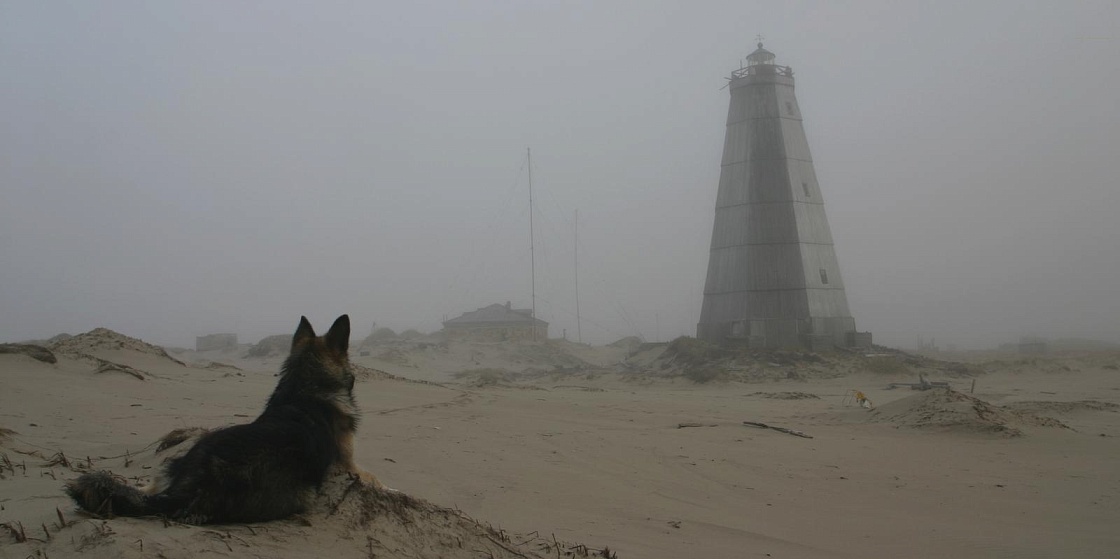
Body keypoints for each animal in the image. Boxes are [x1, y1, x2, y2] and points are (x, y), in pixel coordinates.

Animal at [65, 315, 380, 524]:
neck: (304, 387)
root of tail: (194, 482)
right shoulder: (349, 466)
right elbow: (374, 477)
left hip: (179, 460)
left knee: (141, 489)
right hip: (301, 494)